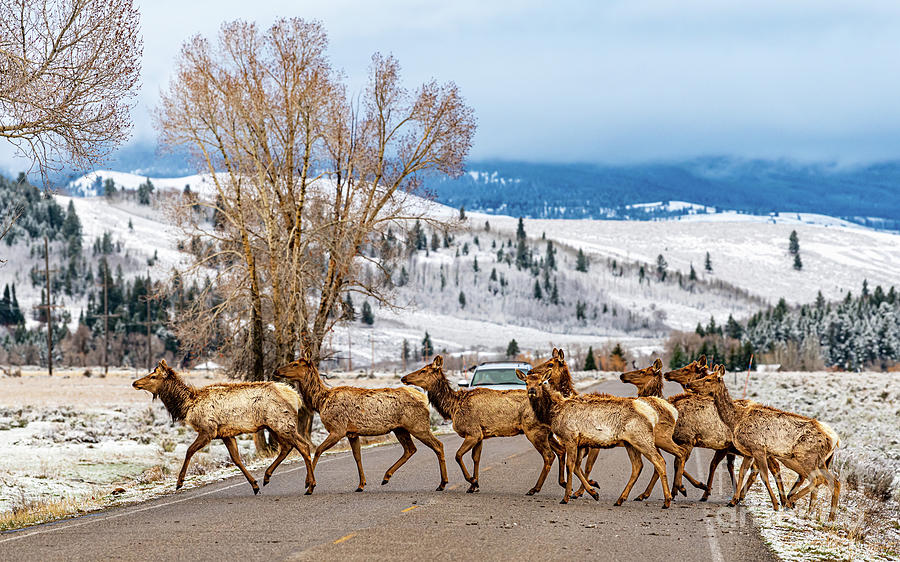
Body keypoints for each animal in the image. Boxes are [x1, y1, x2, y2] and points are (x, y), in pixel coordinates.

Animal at [132, 359, 315, 495]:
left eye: (153, 376)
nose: (135, 383)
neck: (187, 406)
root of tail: (295, 397)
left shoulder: (208, 430)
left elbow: (189, 450)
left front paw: (179, 482)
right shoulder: (226, 434)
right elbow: (236, 459)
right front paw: (254, 485)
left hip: (281, 423)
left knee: (303, 446)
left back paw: (310, 486)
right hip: (275, 426)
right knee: (287, 447)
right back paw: (268, 477)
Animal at [274, 351, 448, 493]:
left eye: (295, 363)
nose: (276, 371)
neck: (320, 402)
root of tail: (424, 400)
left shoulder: (338, 429)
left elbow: (317, 450)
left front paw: (309, 485)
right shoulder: (352, 432)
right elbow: (357, 456)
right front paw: (361, 485)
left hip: (418, 425)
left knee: (438, 445)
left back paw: (442, 483)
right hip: (400, 428)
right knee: (410, 449)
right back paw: (386, 477)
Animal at [401, 355, 565, 494]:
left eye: (423, 370)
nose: (404, 378)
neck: (452, 408)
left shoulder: (472, 432)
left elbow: (458, 455)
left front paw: (472, 481)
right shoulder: (480, 435)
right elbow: (476, 458)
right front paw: (474, 485)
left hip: (534, 431)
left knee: (549, 455)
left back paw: (535, 488)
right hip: (548, 432)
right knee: (560, 450)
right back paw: (563, 483)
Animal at [518, 364, 673, 508]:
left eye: (541, 383)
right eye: (526, 382)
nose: (532, 391)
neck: (552, 413)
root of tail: (652, 414)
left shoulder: (570, 437)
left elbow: (570, 466)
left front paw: (566, 497)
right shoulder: (581, 443)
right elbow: (577, 467)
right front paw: (593, 492)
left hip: (641, 438)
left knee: (659, 461)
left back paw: (667, 500)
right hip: (630, 443)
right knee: (638, 466)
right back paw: (621, 499)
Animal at [686, 366, 841, 520]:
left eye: (708, 379)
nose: (688, 384)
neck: (736, 420)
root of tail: (834, 440)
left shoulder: (758, 449)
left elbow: (764, 476)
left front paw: (775, 504)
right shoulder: (748, 452)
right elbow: (742, 472)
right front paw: (733, 501)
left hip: (806, 457)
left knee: (817, 479)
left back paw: (791, 501)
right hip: (819, 461)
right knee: (834, 481)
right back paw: (829, 518)